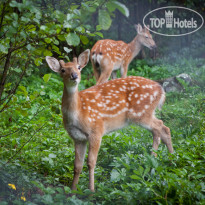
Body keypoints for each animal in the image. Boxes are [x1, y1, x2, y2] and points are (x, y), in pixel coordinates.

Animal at [45, 49, 173, 192]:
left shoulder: (96, 130)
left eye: (78, 67)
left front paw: (91, 190)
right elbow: (77, 165)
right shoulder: (77, 138)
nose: (74, 76)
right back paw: (170, 160)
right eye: (62, 70)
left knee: (160, 126)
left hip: (141, 113)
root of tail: (161, 90)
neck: (78, 114)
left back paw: (153, 163)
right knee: (163, 128)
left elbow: (91, 162)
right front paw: (72, 190)